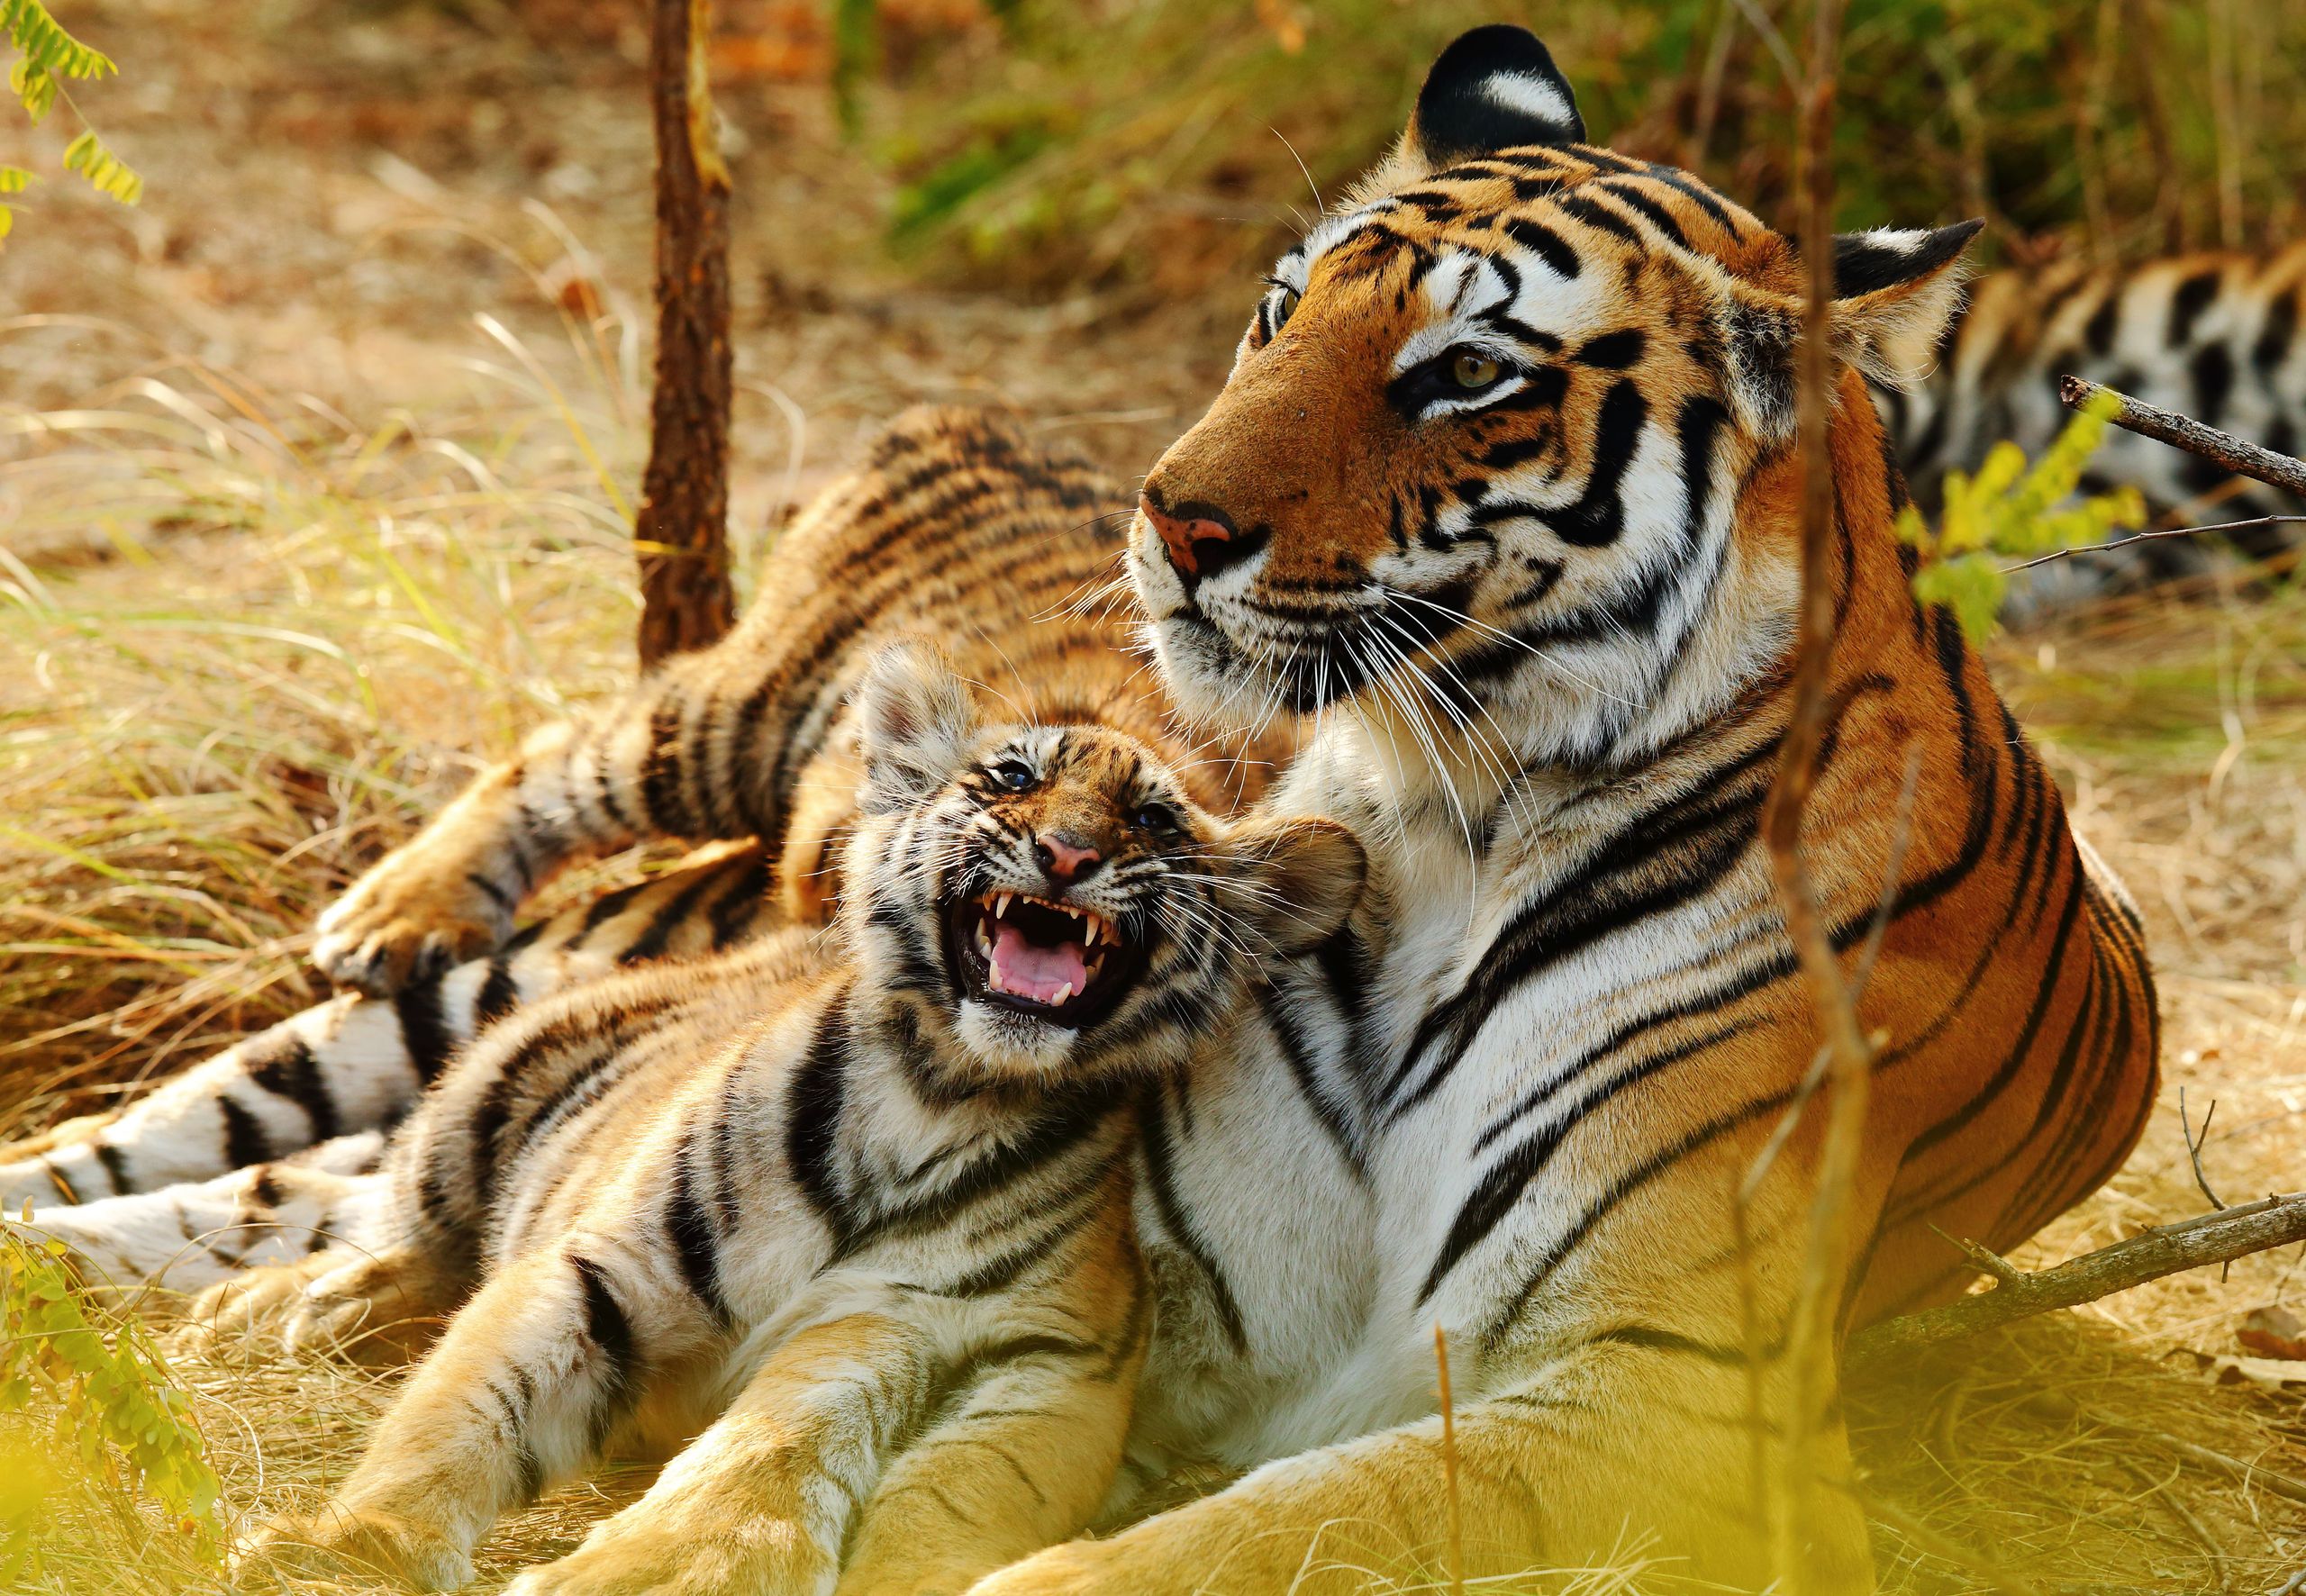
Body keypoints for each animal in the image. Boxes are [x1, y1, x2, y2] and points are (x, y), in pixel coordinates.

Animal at [197, 638, 1363, 1596]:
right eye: (1013, 777)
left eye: (1155, 821)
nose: (1072, 853)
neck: (936, 1091)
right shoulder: (597, 1271)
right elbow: (450, 1417)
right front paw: (345, 1551)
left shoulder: (928, 1321)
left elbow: (820, 1444)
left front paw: (673, 1564)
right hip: (481, 1086)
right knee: (406, 1227)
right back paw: (279, 1308)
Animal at [958, 25, 2160, 1595]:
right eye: (1280, 312)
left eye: (1467, 371)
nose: (1172, 518)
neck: (1445, 813)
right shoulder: (1155, 1274)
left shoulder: (1674, 1401)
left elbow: (1269, 1535)